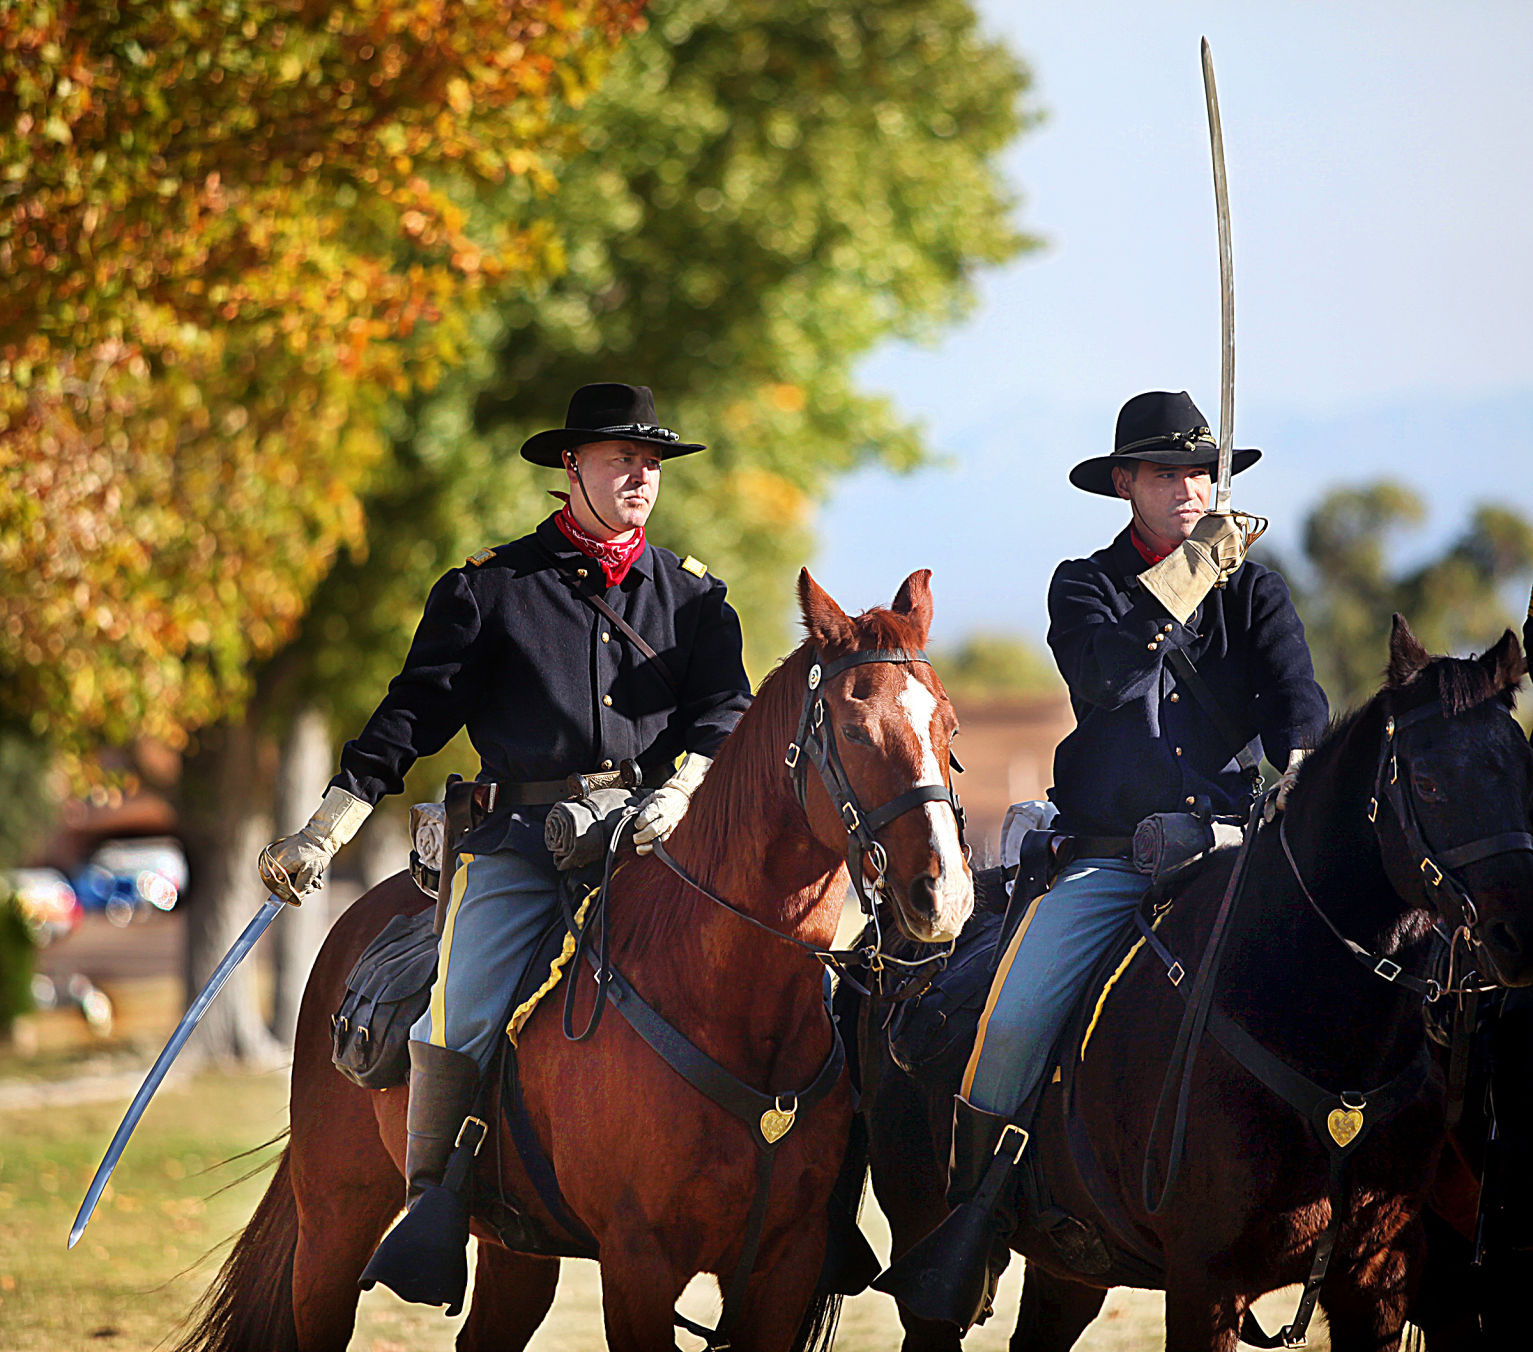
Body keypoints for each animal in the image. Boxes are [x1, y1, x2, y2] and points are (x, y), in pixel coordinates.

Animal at [173, 570, 974, 1348]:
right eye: (854, 730)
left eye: (948, 726)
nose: (943, 895)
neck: (738, 1010)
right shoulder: (638, 1263)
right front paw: (310, 843)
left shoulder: (786, 1265)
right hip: (334, 1226)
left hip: (515, 1249)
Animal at [858, 613, 1533, 1348]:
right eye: (1430, 782)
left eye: (1524, 771)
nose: (1519, 936)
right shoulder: (1204, 1284)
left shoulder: (1375, 1277)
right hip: (927, 1256)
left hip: (1071, 1273)